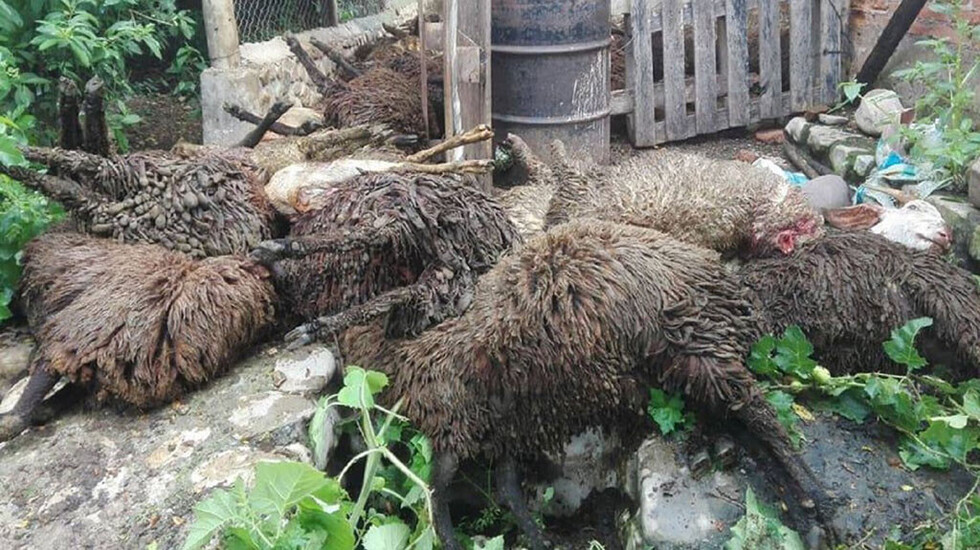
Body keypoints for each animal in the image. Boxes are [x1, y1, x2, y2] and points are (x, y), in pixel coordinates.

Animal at [249, 170, 520, 342]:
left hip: (396, 210)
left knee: (373, 233)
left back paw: (275, 251)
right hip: (447, 269)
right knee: (416, 291)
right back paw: (316, 325)